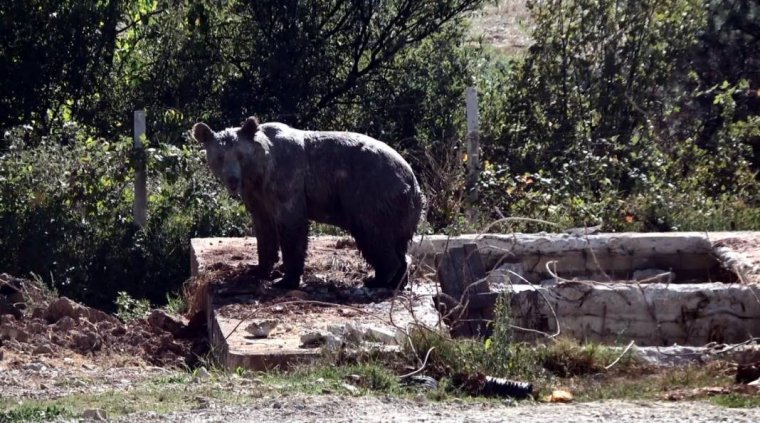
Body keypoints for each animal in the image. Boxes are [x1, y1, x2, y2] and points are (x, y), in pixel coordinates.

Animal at [190, 117, 424, 294]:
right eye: (219, 157)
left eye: (240, 156)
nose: (232, 180)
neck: (259, 171)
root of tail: (414, 181)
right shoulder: (258, 196)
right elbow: (264, 230)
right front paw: (258, 269)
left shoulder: (287, 181)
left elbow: (292, 228)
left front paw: (285, 279)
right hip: (399, 211)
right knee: (396, 243)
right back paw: (397, 280)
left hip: (372, 194)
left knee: (373, 236)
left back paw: (378, 278)